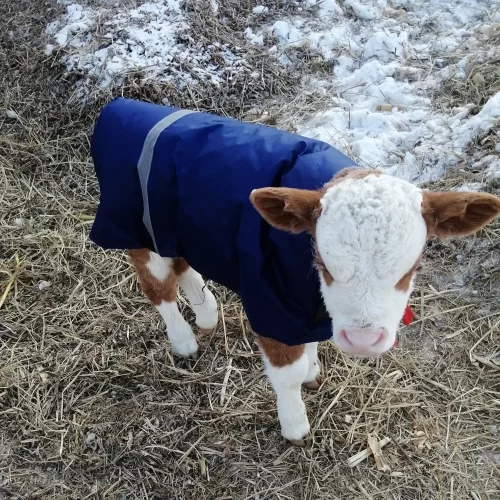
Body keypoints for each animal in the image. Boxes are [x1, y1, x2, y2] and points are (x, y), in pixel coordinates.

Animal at [92, 97, 500, 446]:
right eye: (323, 263)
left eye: (412, 268)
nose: (363, 341)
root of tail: (119, 106)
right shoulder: (271, 301)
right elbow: (286, 372)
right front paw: (295, 425)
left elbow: (312, 344)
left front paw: (312, 370)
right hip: (133, 225)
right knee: (158, 286)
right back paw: (184, 341)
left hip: (177, 227)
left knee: (182, 263)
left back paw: (207, 312)